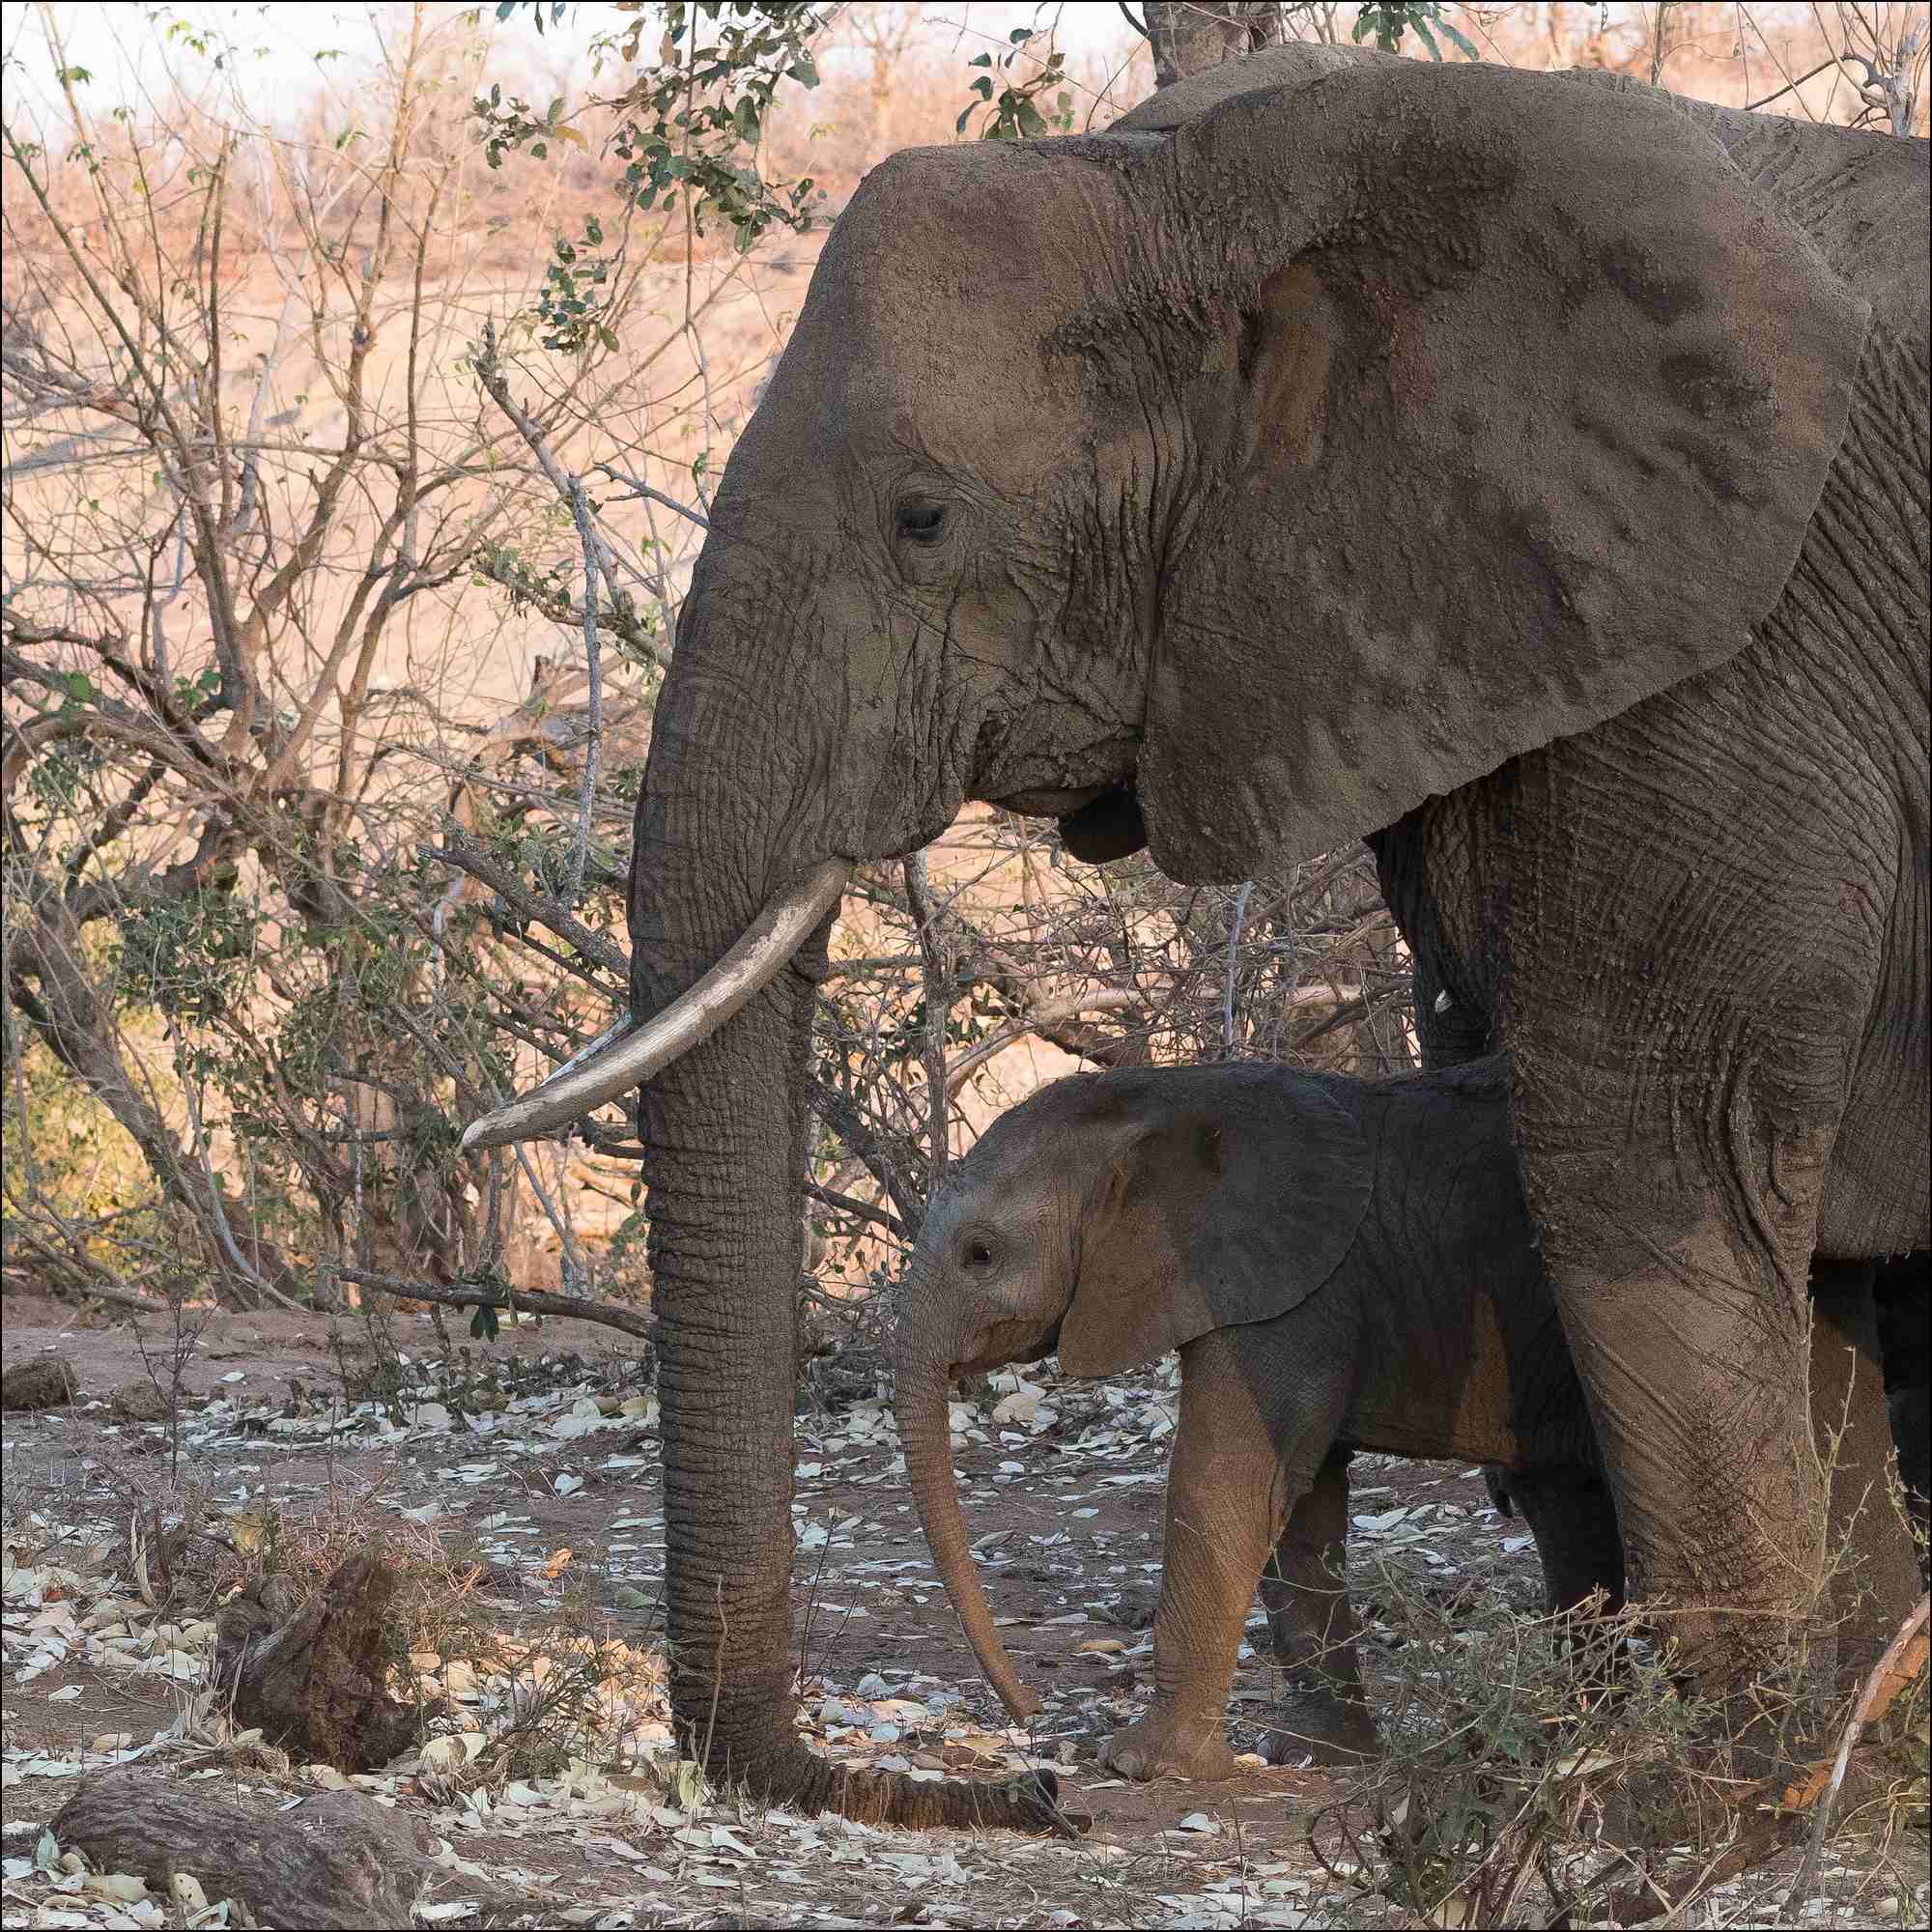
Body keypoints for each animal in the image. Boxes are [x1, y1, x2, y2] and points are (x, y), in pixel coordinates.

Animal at [889, 1059, 1615, 1777]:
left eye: (981, 1254)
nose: (1029, 1711)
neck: (1157, 1098)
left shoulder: (1293, 1296)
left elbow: (1226, 1484)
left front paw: (1142, 1765)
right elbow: (1297, 1505)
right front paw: (1315, 1757)